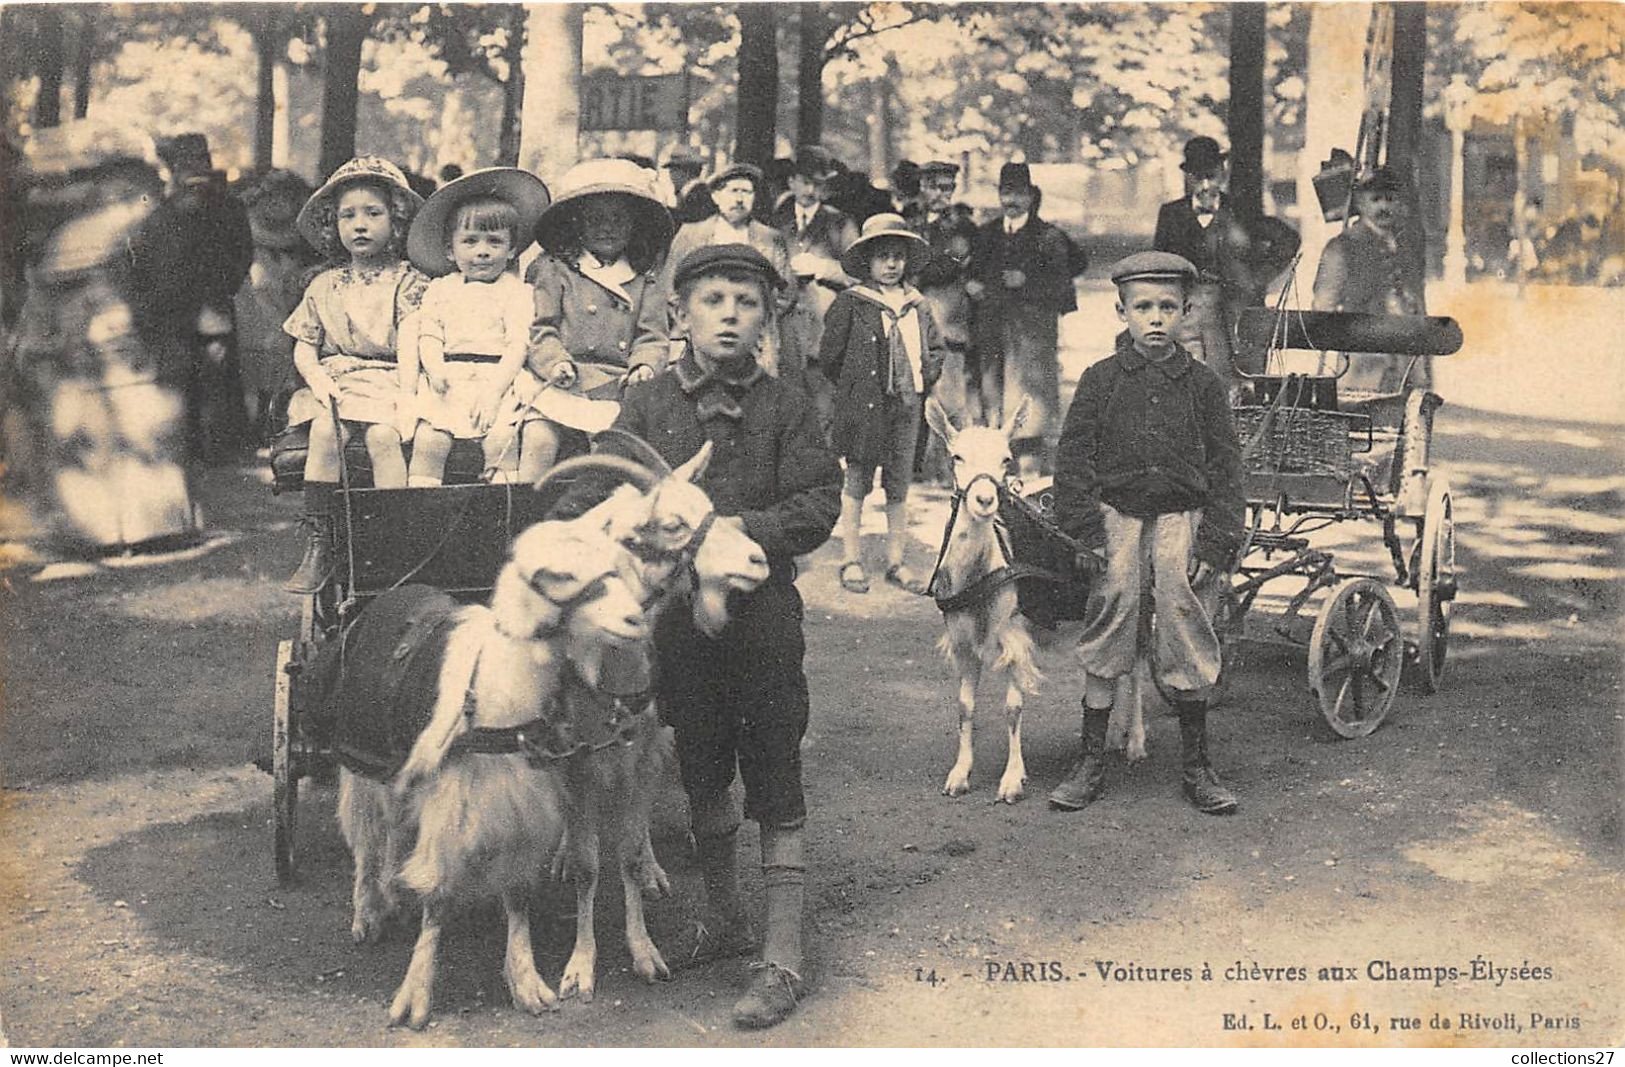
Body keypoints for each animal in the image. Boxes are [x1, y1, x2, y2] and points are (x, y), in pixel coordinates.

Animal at [929, 394, 1144, 802]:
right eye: (956, 456)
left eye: (1005, 458)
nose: (984, 500)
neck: (985, 569)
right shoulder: (961, 639)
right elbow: (964, 707)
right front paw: (959, 775)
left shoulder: (1015, 633)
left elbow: (1012, 709)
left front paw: (1012, 781)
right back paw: (1113, 737)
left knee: (1138, 666)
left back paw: (1136, 742)